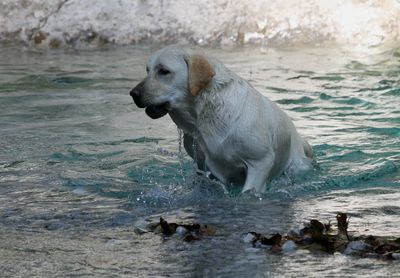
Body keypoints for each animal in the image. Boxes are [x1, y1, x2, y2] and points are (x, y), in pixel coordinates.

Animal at [130, 45, 312, 193]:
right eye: (147, 70)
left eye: (164, 71)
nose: (133, 93)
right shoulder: (203, 165)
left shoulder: (260, 161)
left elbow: (249, 191)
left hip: (296, 163)